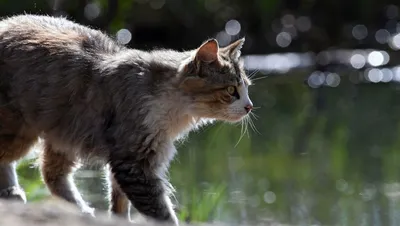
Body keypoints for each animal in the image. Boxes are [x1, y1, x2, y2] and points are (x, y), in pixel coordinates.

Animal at [0, 14, 253, 226]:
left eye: (246, 88)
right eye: (231, 90)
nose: (249, 107)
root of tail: (6, 23)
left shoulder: (133, 155)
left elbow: (120, 202)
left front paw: (119, 220)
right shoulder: (133, 160)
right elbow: (160, 211)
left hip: (64, 131)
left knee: (51, 173)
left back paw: (80, 210)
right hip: (21, 130)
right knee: (11, 160)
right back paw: (13, 192)